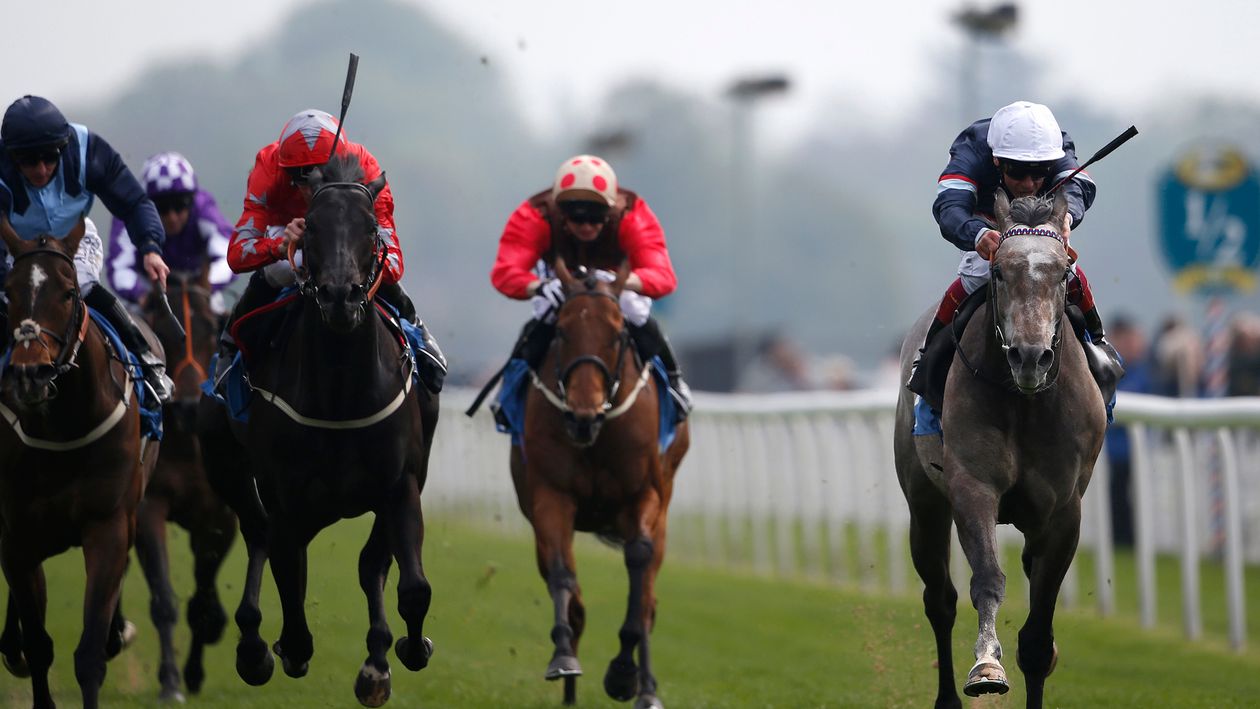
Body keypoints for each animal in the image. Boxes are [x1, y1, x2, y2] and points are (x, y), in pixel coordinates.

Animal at [0, 219, 161, 705]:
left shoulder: (107, 525)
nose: (30, 374)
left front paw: (108, 637)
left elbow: (89, 654)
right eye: (8, 292)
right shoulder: (19, 535)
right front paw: (21, 649)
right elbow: (39, 645)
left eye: (69, 292)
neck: (63, 428)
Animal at [199, 156, 441, 709]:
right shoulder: (285, 495)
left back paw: (377, 660)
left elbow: (412, 586)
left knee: (368, 564)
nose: (339, 295)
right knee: (260, 535)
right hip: (226, 465)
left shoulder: (401, 486)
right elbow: (289, 575)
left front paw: (407, 650)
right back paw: (254, 646)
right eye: (309, 226)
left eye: (371, 227)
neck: (341, 391)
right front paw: (289, 647)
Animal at [509, 260, 690, 709]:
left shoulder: (644, 496)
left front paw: (625, 675)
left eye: (618, 334)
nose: (582, 416)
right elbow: (562, 574)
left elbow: (639, 572)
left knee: (649, 599)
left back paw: (646, 687)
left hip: (662, 515)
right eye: (561, 331)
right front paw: (563, 656)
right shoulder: (550, 497)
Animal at [897, 190, 1103, 709]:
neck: (1025, 401)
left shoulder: (1063, 511)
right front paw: (987, 666)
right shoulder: (973, 487)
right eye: (998, 273)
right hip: (924, 505)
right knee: (939, 600)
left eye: (1063, 273)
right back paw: (947, 697)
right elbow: (987, 580)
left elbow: (1038, 638)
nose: (1030, 357)